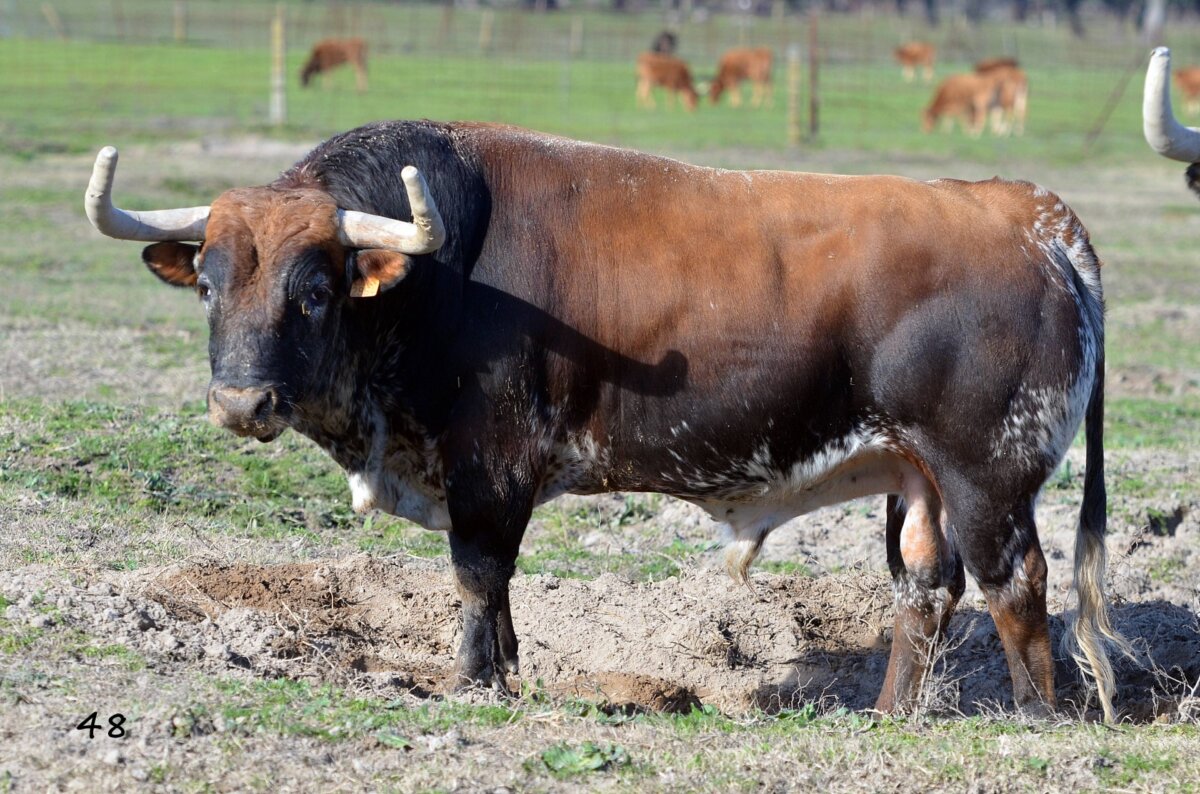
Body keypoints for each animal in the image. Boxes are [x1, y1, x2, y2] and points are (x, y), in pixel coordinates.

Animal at [84, 121, 1123, 724]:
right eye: (210, 284)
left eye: (311, 291)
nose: (240, 404)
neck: (443, 274)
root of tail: (1029, 213)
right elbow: (496, 590)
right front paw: (505, 672)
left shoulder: (491, 464)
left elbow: (477, 576)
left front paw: (474, 684)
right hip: (917, 477)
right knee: (926, 588)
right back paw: (892, 716)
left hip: (985, 472)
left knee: (1015, 583)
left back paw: (1036, 716)